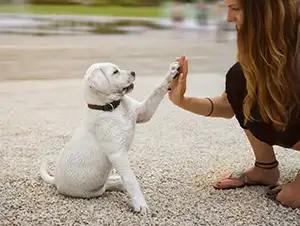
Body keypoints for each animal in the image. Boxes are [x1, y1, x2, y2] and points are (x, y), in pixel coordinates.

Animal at [39, 61, 180, 213]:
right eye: (115, 72)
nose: (133, 72)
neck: (112, 107)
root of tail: (55, 180)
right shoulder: (118, 154)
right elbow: (131, 180)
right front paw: (140, 204)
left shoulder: (143, 112)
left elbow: (157, 90)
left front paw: (171, 73)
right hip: (92, 191)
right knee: (107, 186)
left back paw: (118, 181)